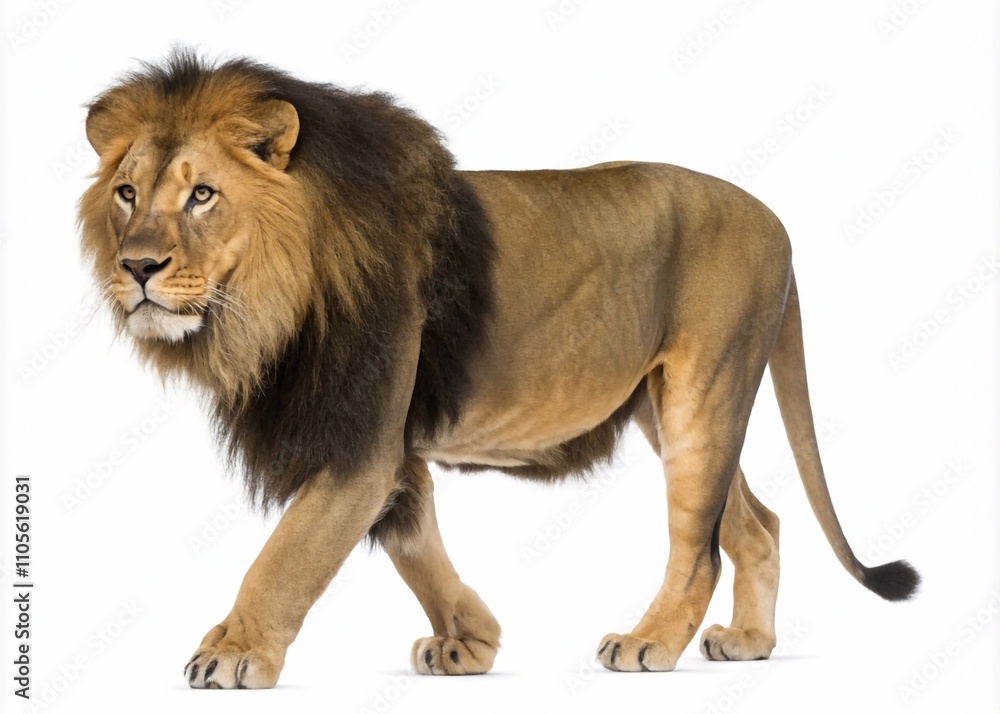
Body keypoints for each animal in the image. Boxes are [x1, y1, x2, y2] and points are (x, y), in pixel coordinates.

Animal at [79, 51, 919, 688]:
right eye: (127, 194)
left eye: (203, 194)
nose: (137, 268)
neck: (271, 300)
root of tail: (775, 220)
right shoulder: (389, 445)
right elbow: (414, 542)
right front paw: (470, 640)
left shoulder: (362, 441)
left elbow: (286, 556)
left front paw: (232, 651)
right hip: (666, 403)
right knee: (757, 521)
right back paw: (748, 642)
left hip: (703, 394)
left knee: (698, 545)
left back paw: (649, 643)